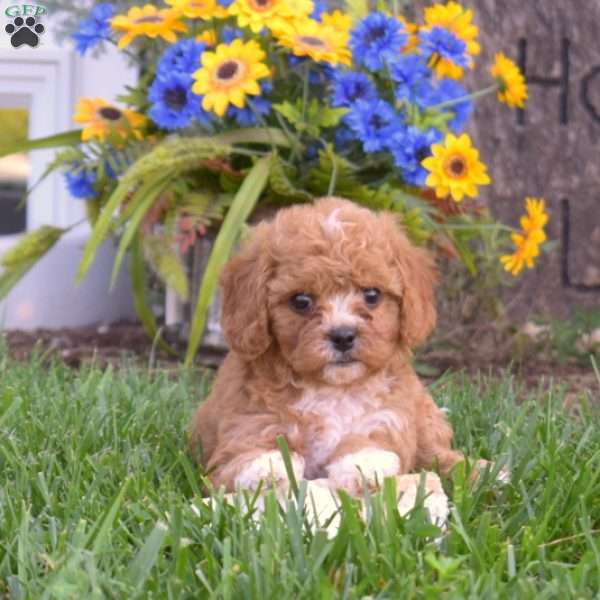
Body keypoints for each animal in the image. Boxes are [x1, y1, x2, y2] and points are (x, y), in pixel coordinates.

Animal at [189, 197, 464, 492]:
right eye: (301, 301)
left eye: (372, 295)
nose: (343, 336)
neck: (333, 389)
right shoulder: (247, 416)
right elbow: (248, 446)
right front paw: (266, 468)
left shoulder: (389, 416)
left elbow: (371, 439)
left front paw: (362, 464)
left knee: (438, 453)